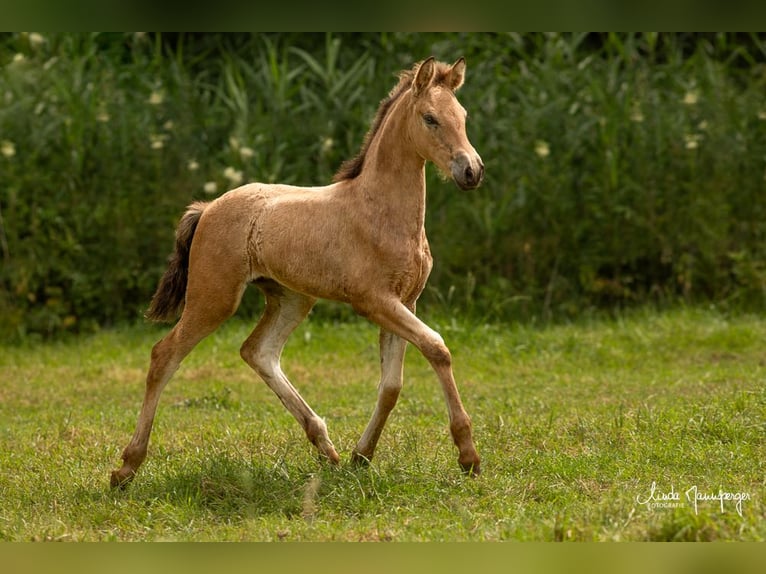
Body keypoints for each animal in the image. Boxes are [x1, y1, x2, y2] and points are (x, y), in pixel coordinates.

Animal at [111, 57, 484, 490]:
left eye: (463, 116)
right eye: (430, 118)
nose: (471, 171)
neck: (378, 210)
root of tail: (206, 208)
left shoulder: (405, 301)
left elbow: (391, 385)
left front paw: (361, 456)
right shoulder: (374, 301)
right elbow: (437, 347)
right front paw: (468, 456)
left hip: (291, 299)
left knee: (258, 351)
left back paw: (328, 450)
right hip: (213, 298)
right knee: (164, 355)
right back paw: (125, 468)